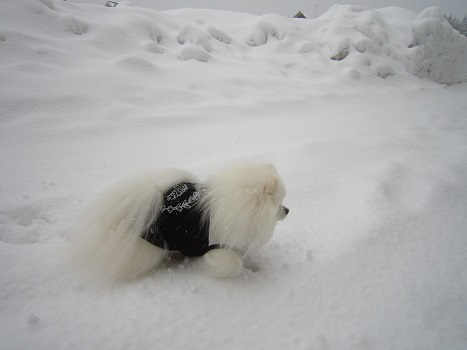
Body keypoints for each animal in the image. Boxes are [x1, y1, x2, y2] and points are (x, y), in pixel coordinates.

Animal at [71, 163, 288, 282]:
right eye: (278, 203)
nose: (287, 210)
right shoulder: (217, 246)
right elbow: (231, 262)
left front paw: (253, 266)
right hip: (147, 247)